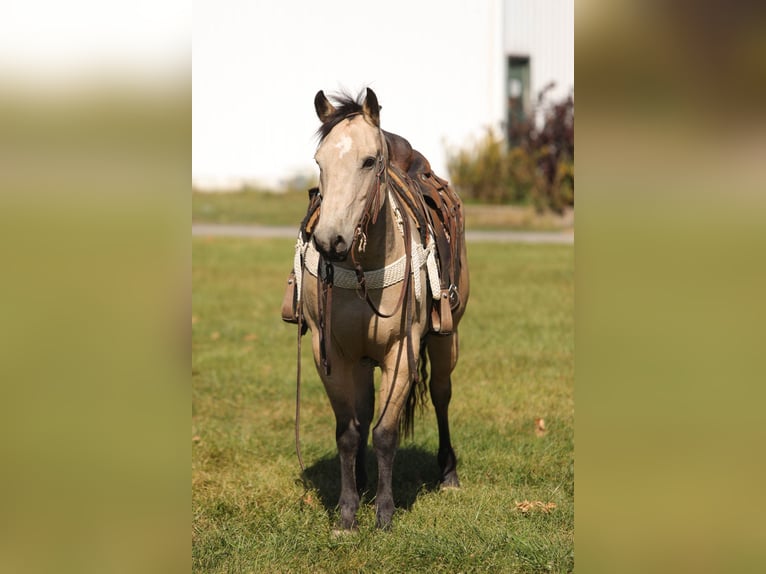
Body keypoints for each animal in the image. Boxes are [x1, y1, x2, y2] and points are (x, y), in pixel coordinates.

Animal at [284, 88, 472, 532]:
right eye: (320, 161)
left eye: (369, 161)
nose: (329, 241)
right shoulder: (329, 354)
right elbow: (349, 432)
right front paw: (348, 510)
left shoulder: (402, 352)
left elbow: (386, 432)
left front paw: (384, 514)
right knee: (364, 410)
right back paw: (362, 478)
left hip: (448, 338)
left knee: (441, 395)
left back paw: (448, 474)